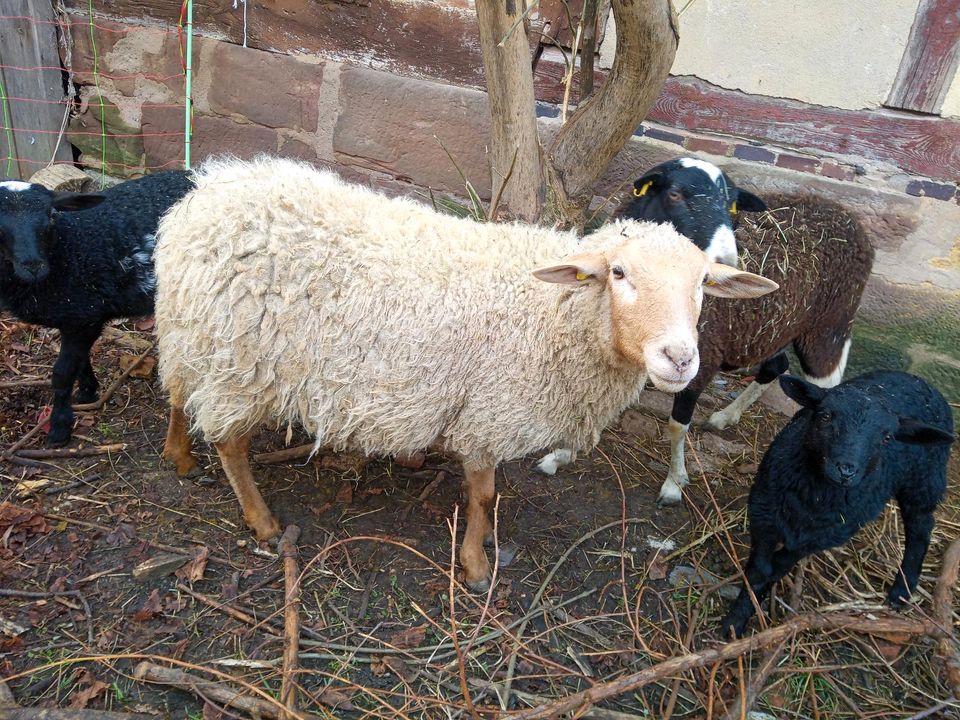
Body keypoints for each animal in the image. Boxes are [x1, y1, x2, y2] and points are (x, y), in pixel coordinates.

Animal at [0, 174, 195, 444]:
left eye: (51, 215)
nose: (33, 266)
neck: (69, 250)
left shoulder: (84, 318)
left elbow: (62, 373)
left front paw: (60, 427)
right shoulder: (76, 317)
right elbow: (80, 361)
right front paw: (87, 391)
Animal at [720, 372, 952, 636]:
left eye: (886, 438)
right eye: (825, 416)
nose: (846, 470)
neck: (812, 499)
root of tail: (925, 383)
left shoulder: (819, 537)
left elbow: (778, 567)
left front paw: (750, 607)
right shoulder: (763, 514)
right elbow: (759, 570)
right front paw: (734, 622)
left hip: (924, 480)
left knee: (921, 529)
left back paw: (902, 591)